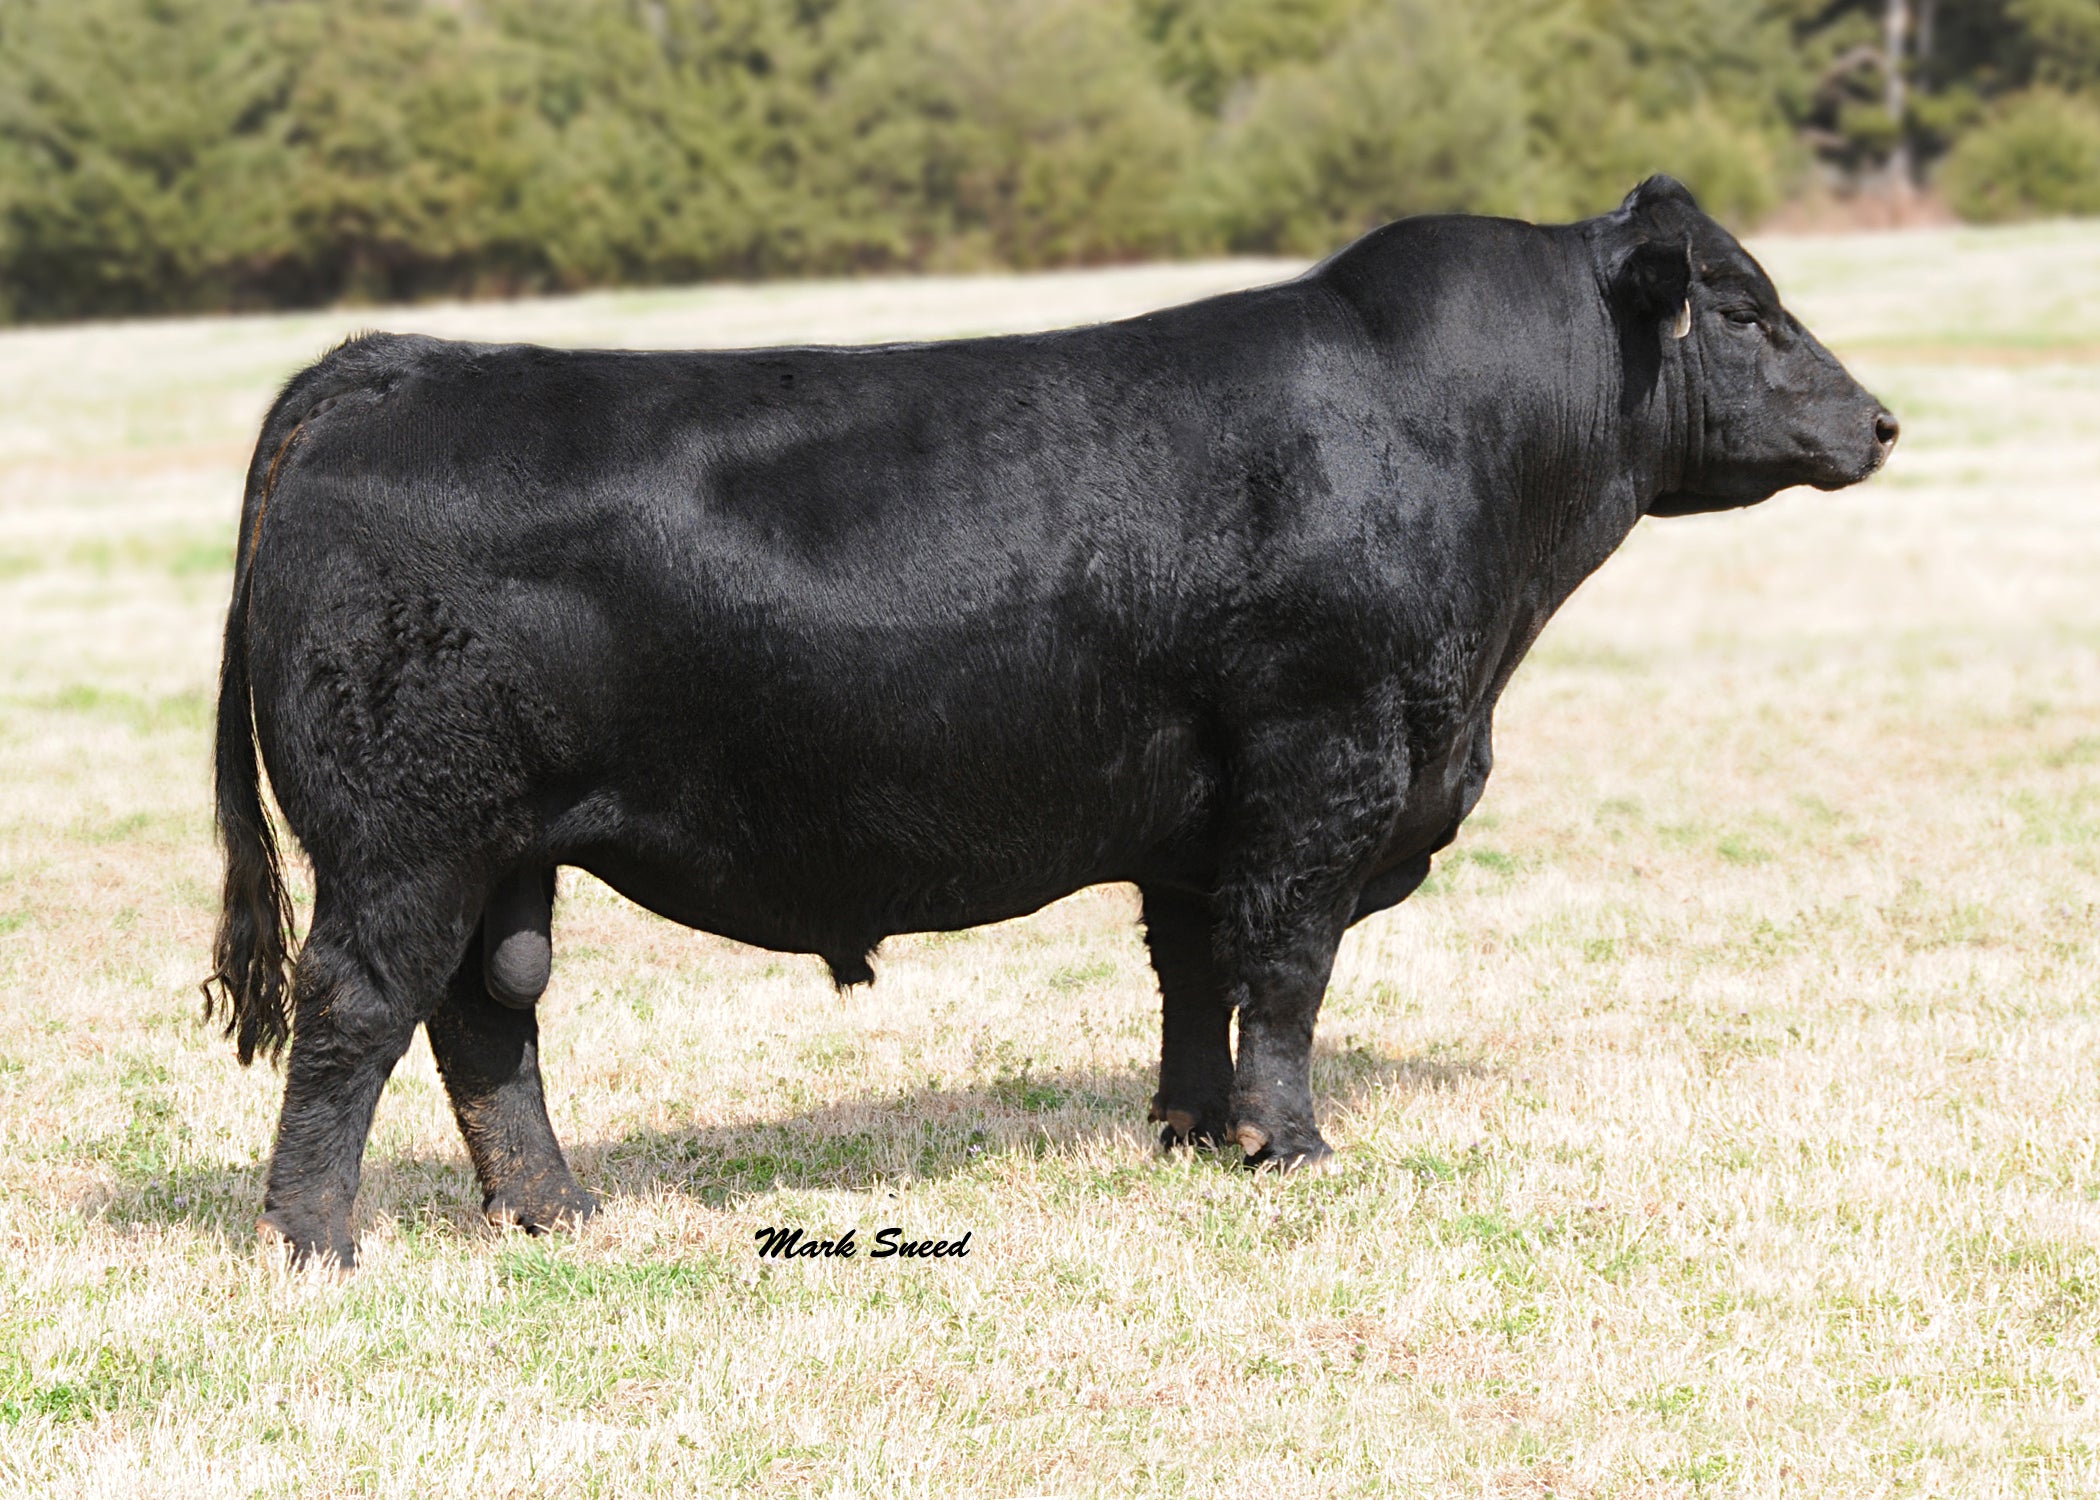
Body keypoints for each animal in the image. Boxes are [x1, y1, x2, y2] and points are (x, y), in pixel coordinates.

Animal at [205, 177, 1896, 1268]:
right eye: (1745, 310)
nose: (1878, 422)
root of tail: (400, 365)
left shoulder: (1200, 822)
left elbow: (1197, 973)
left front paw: (1197, 1131)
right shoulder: (1323, 766)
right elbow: (1289, 968)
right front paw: (1294, 1147)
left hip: (500, 848)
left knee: (490, 1012)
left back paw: (554, 1214)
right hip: (404, 836)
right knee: (364, 1003)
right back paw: (313, 1242)